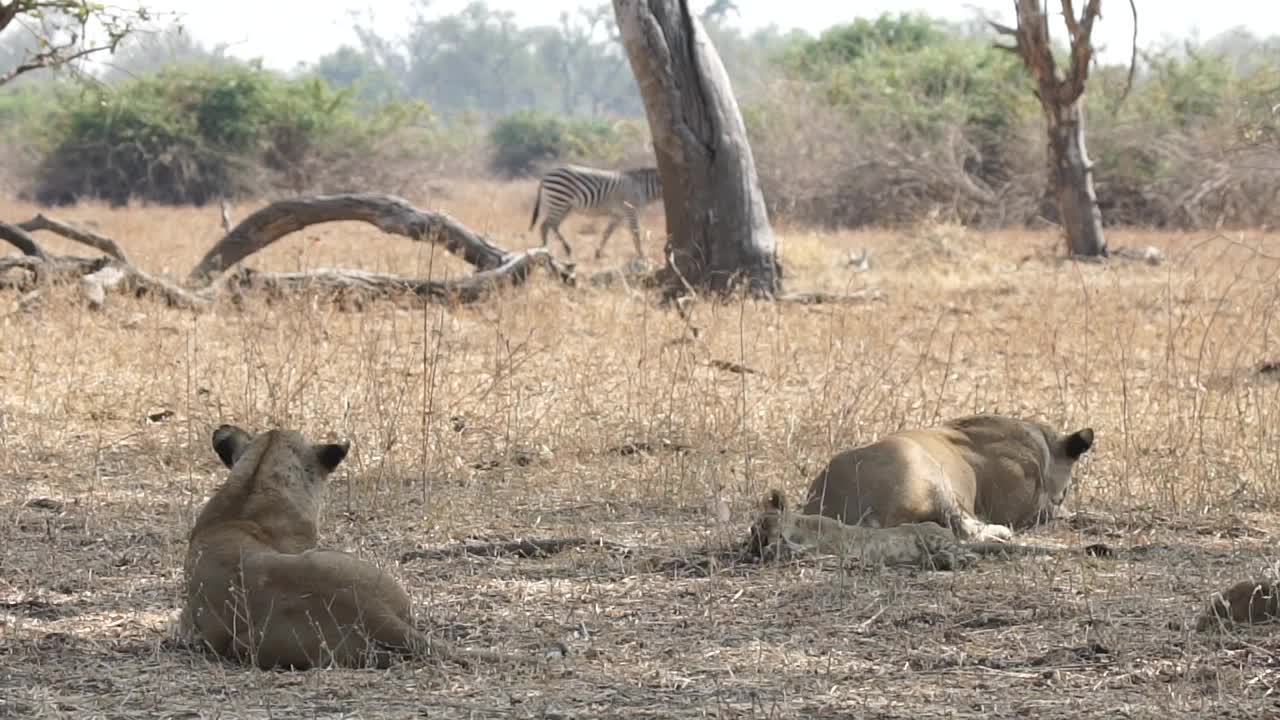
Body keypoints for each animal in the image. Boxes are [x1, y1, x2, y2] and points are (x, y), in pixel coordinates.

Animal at [527, 163, 665, 258]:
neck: (642, 187)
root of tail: (547, 174)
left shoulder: (618, 215)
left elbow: (607, 232)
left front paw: (598, 253)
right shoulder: (631, 210)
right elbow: (635, 233)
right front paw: (642, 255)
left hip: (563, 206)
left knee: (550, 225)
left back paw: (551, 249)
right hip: (559, 200)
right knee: (547, 225)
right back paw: (554, 250)